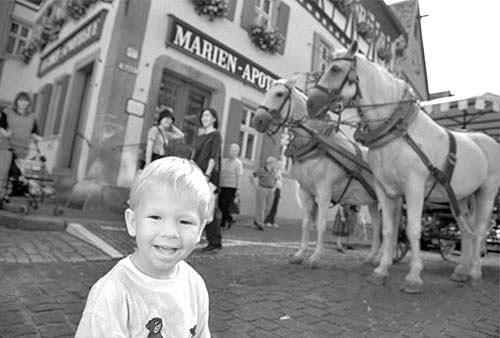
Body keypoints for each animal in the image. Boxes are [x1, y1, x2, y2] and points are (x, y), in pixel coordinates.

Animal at [252, 78, 396, 268]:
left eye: (279, 94)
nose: (257, 120)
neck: (316, 142)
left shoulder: (324, 190)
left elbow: (320, 224)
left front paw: (315, 257)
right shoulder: (305, 191)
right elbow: (306, 224)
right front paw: (300, 254)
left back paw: (384, 258)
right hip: (373, 201)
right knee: (379, 225)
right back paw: (373, 256)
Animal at [306, 41, 500, 292]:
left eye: (336, 69)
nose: (311, 104)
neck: (397, 130)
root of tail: (489, 141)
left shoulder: (414, 187)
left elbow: (413, 229)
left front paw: (414, 277)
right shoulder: (384, 188)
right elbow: (389, 230)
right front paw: (381, 270)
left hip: (486, 193)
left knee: (480, 231)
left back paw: (475, 272)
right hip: (461, 197)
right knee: (466, 230)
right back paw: (461, 271)